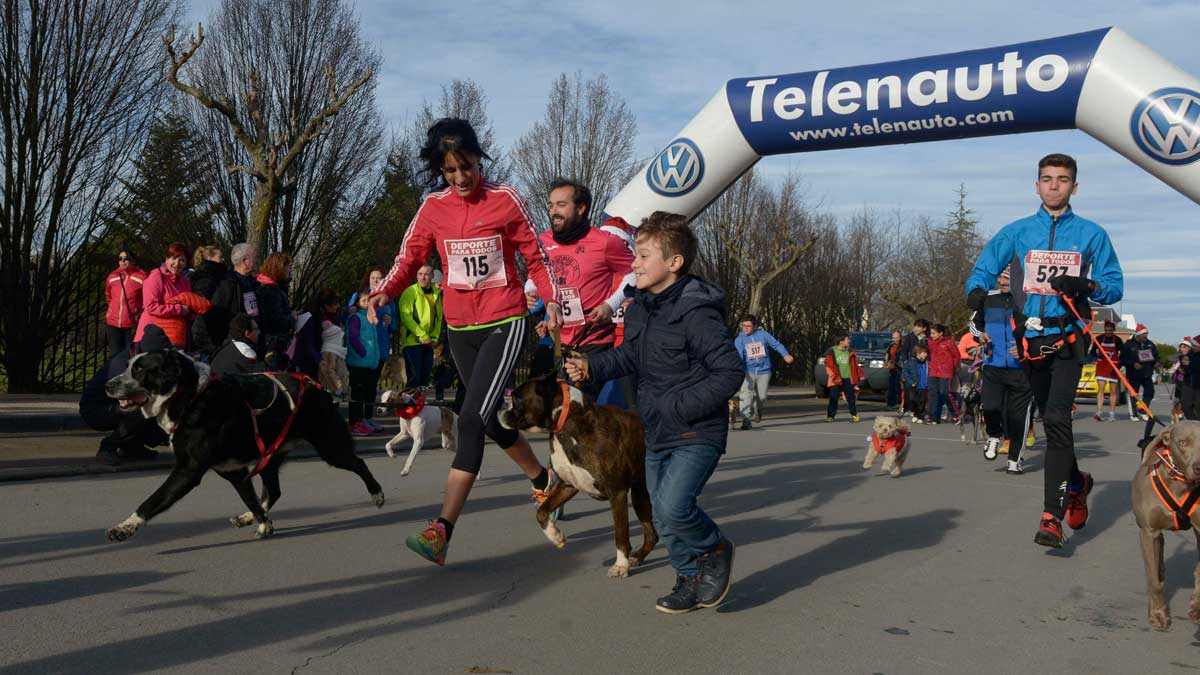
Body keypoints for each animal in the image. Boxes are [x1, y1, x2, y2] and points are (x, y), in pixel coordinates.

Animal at [105, 348, 384, 538]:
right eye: (129, 366)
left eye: (140, 370)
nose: (108, 385)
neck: (191, 397)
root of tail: (319, 388)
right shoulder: (233, 470)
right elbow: (251, 498)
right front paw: (263, 523)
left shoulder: (188, 470)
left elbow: (152, 501)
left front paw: (124, 527)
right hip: (271, 457)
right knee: (273, 492)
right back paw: (248, 518)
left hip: (330, 447)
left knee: (359, 463)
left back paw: (377, 494)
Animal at [494, 369, 657, 576]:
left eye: (517, 399)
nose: (500, 409)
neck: (568, 422)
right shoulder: (567, 485)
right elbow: (542, 511)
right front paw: (555, 536)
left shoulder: (617, 494)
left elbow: (620, 533)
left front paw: (620, 565)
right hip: (640, 495)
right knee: (652, 534)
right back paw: (637, 557)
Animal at [1128, 420, 1200, 629]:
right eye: (1182, 442)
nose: (1199, 468)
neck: (1179, 485)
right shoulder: (1148, 531)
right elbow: (1154, 581)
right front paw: (1158, 614)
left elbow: (1199, 571)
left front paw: (1196, 607)